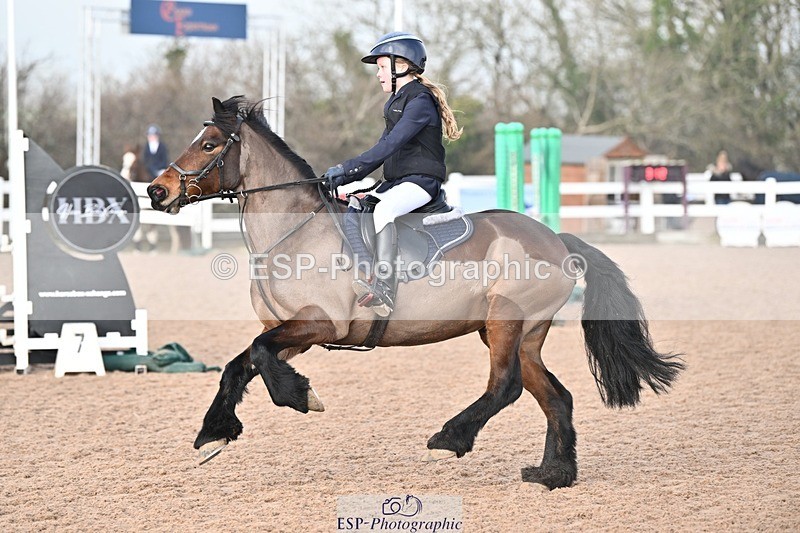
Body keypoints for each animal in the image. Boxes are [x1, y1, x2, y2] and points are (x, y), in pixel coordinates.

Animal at [147, 96, 684, 489]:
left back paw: (452, 437)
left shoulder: (320, 322)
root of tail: (556, 238)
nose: (157, 191)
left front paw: (301, 397)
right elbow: (243, 362)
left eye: (210, 144)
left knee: (505, 385)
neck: (292, 232)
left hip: (506, 322)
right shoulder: (293, 333)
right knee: (555, 397)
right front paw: (215, 431)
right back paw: (553, 475)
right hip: (522, 333)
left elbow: (258, 355)